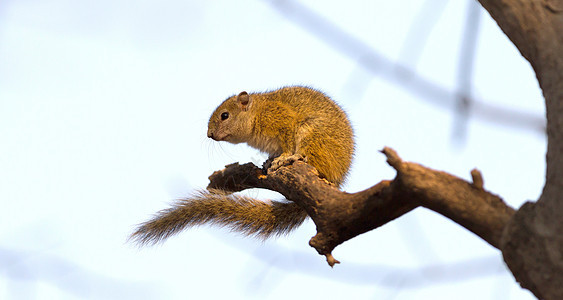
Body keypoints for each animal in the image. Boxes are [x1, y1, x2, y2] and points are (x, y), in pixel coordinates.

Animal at [130, 85, 354, 245]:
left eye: (225, 115)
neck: (257, 114)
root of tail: (337, 179)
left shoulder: (282, 120)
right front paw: (269, 160)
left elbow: (288, 142)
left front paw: (284, 157)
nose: (209, 134)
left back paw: (296, 159)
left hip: (313, 135)